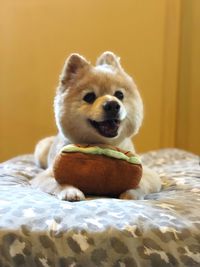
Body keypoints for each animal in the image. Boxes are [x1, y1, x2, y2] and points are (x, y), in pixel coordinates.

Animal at [31, 51, 161, 201]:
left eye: (119, 95)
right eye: (89, 97)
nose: (112, 104)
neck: (103, 144)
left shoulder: (150, 174)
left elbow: (140, 183)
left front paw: (131, 193)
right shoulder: (43, 177)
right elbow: (58, 182)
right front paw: (70, 191)